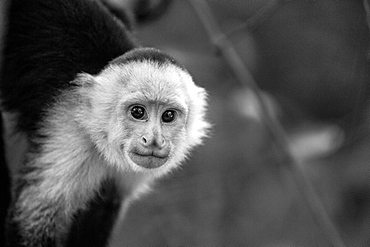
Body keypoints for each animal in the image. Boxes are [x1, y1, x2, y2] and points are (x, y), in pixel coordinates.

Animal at [0, 0, 208, 247]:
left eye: (168, 116)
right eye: (138, 112)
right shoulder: (73, 136)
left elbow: (105, 205)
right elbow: (33, 221)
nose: (153, 141)